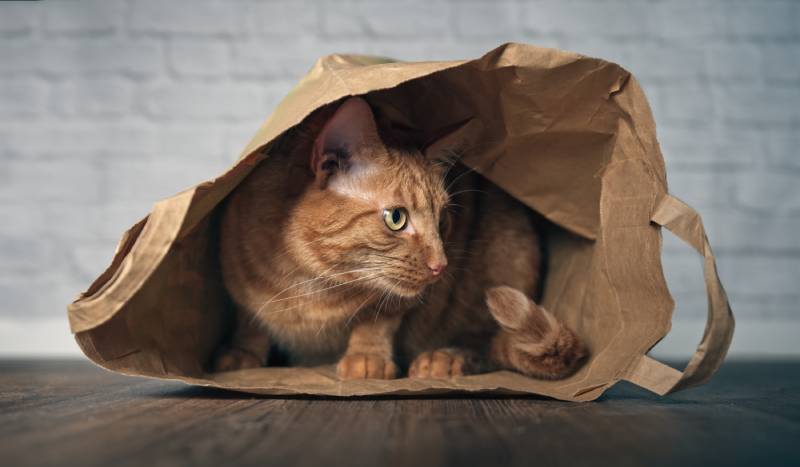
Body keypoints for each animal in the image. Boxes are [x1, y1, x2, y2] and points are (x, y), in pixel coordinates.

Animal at [216, 97, 584, 378]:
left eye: (442, 220)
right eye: (397, 218)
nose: (441, 266)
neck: (314, 284)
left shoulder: (399, 303)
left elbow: (377, 318)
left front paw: (367, 357)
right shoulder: (238, 285)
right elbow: (249, 322)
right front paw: (241, 353)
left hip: (508, 251)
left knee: (485, 343)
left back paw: (444, 358)